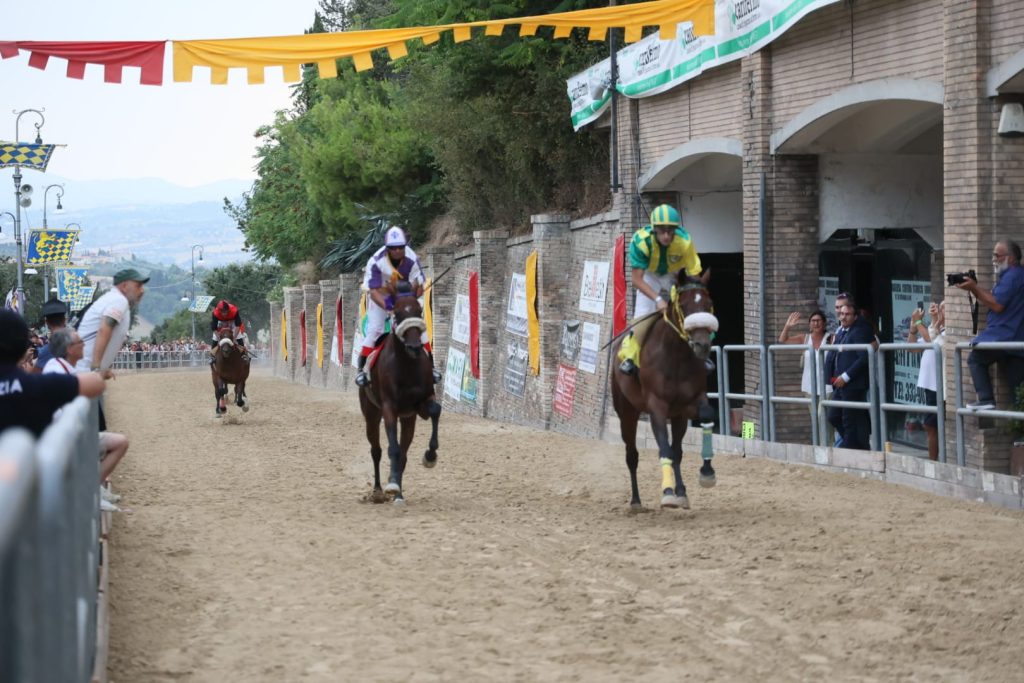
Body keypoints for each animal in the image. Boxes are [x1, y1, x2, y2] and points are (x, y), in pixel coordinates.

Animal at [358, 282, 442, 501]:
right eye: (396, 313)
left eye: (419, 310)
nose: (414, 347)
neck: (407, 366)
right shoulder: (389, 407)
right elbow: (392, 449)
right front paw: (392, 484)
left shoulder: (420, 403)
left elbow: (435, 410)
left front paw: (430, 456)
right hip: (371, 413)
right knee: (377, 450)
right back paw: (379, 489)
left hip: (408, 418)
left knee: (403, 454)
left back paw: (399, 494)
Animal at [606, 270, 720, 509]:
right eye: (683, 306)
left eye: (709, 303)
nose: (702, 345)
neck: (675, 357)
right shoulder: (656, 406)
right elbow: (664, 448)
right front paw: (667, 492)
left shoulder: (691, 402)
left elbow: (704, 416)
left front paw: (706, 473)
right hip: (627, 412)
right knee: (632, 454)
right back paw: (636, 501)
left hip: (677, 417)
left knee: (677, 451)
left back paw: (681, 491)